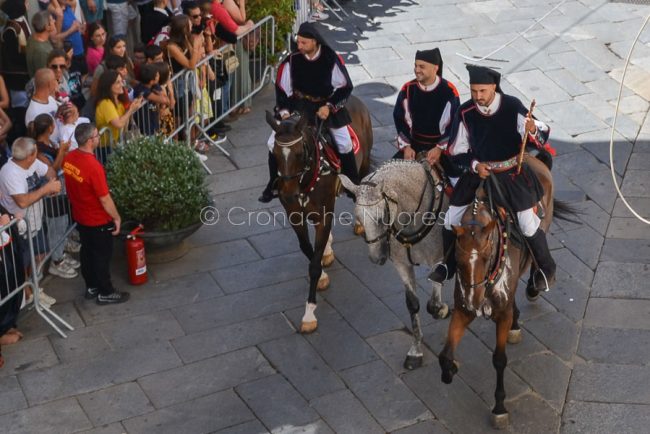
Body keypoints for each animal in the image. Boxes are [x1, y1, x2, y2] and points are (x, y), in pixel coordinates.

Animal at [264, 94, 372, 332]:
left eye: (298, 153)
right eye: (274, 154)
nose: (288, 194)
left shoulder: (323, 214)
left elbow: (313, 264)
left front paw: (309, 313)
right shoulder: (296, 216)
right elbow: (308, 249)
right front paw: (322, 269)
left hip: (363, 164)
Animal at [436, 155, 572, 428]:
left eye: (486, 256)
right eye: (458, 259)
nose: (474, 302)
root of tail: (533, 159)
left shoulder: (500, 314)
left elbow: (499, 360)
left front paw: (499, 407)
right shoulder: (462, 311)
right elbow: (445, 356)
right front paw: (451, 368)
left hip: (541, 224)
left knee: (535, 240)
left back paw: (537, 282)